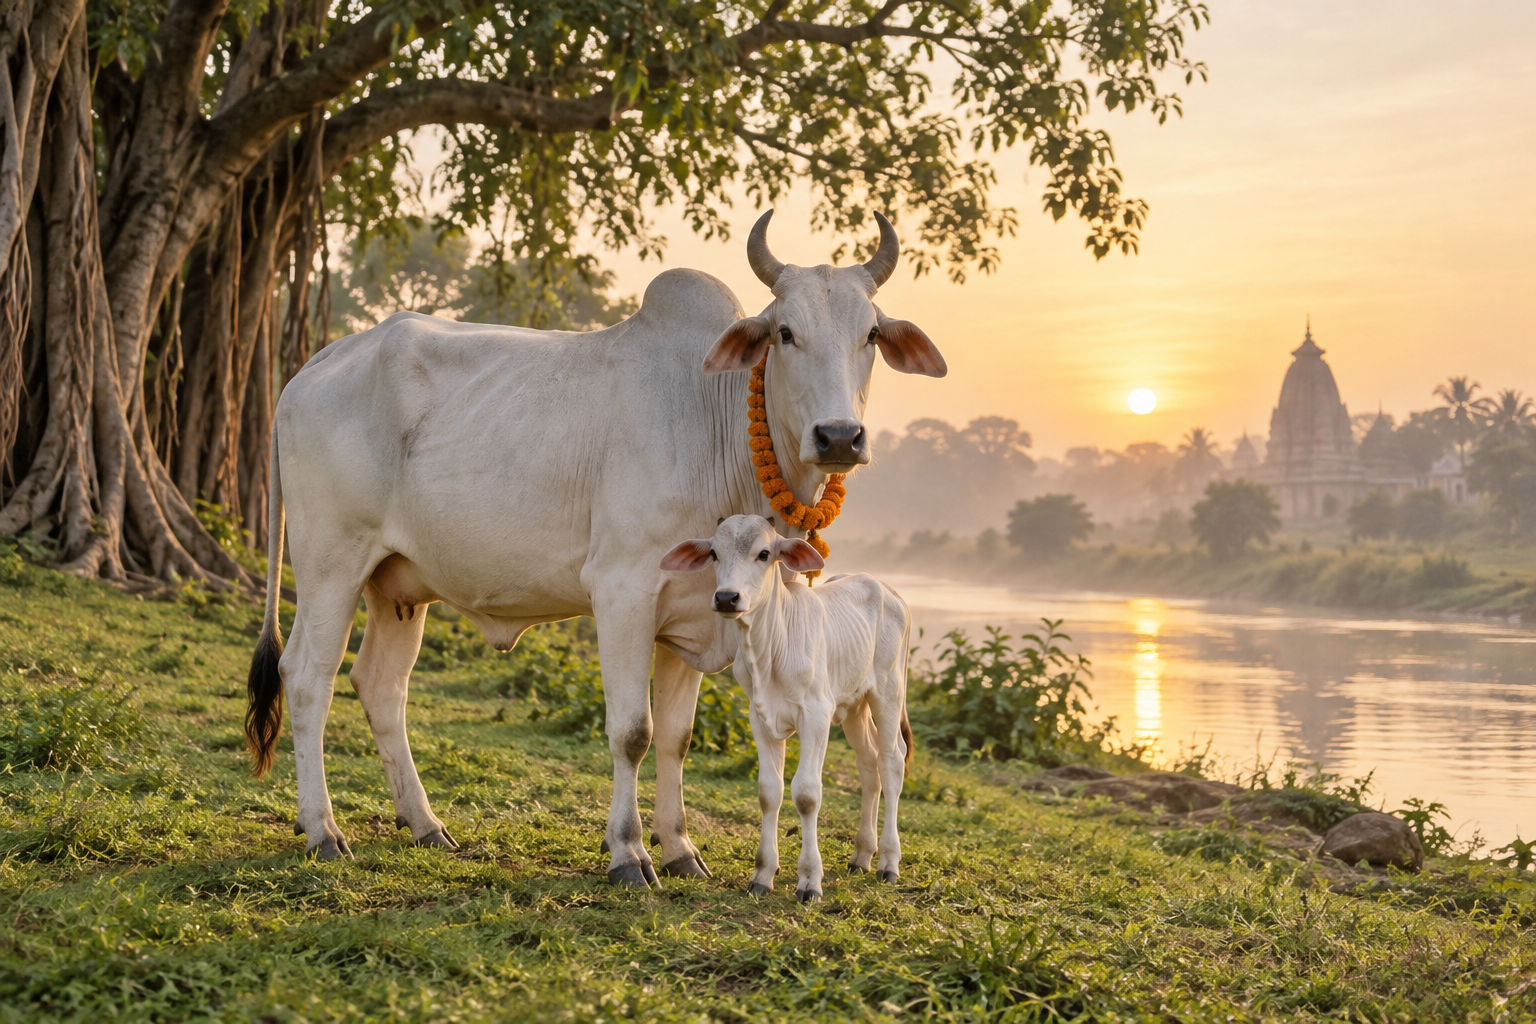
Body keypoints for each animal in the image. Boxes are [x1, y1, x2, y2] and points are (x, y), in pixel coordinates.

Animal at [662, 515, 912, 901]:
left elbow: (807, 794)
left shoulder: (816, 715)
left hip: (888, 690)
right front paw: (763, 874)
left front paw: (809, 881)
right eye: (714, 553)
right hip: (854, 705)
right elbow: (770, 792)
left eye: (764, 553)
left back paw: (888, 861)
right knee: (869, 764)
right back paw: (862, 855)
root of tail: (887, 589)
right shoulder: (760, 717)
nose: (726, 597)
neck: (767, 651)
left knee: (892, 762)